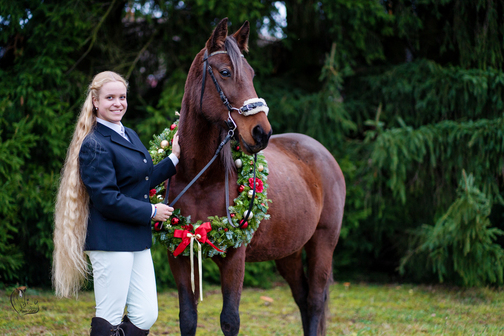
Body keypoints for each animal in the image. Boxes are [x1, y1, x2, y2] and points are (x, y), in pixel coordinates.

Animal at [167, 17, 344, 336]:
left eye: (250, 73)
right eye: (225, 72)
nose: (262, 132)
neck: (200, 178)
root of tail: (323, 153)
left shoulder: (235, 258)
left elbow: (230, 319)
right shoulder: (179, 254)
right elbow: (187, 317)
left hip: (323, 244)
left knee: (314, 301)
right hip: (289, 252)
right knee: (302, 298)